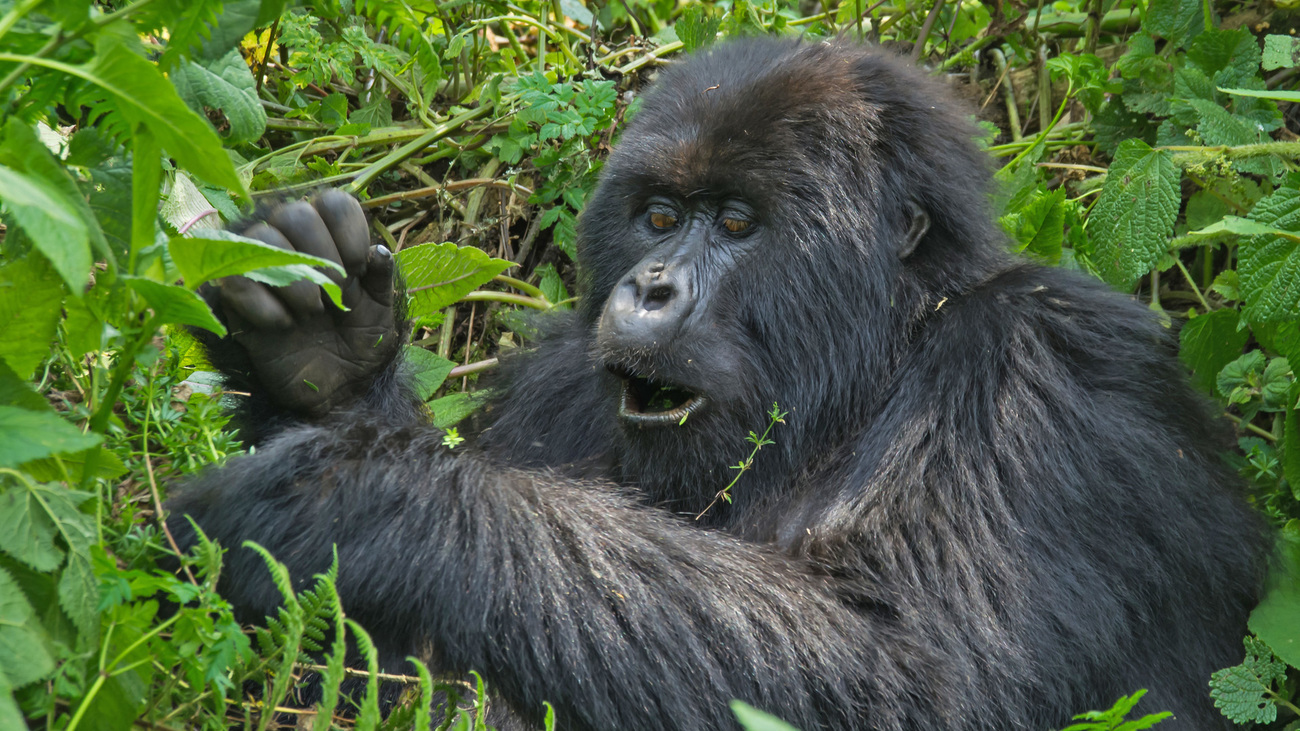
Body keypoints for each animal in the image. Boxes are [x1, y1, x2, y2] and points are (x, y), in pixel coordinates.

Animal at [165, 39, 1268, 728]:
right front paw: (326, 372)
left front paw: (355, 497)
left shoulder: (1038, 372)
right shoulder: (556, 384)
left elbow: (922, 678)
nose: (651, 287)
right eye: (658, 216)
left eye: (736, 223)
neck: (874, 362)